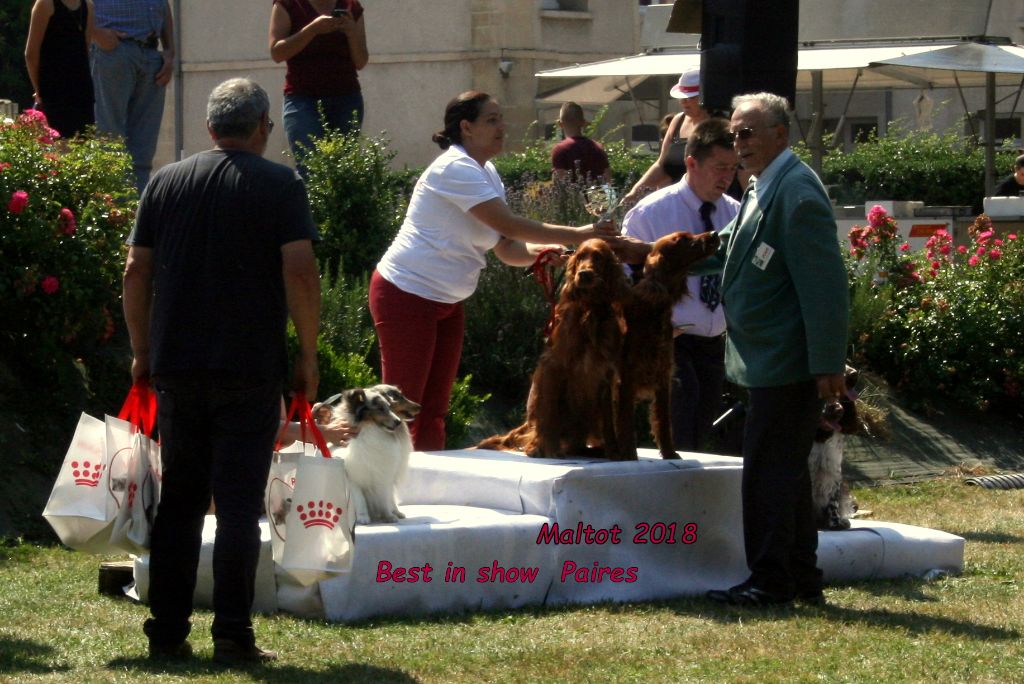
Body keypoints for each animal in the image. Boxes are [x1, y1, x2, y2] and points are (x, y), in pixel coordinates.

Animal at [475, 237, 626, 456]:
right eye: (580, 257)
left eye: (598, 257)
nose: (584, 274)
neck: (589, 309)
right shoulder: (554, 366)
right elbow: (549, 413)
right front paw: (544, 448)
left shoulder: (606, 372)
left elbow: (608, 419)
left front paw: (613, 452)